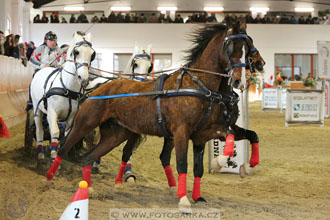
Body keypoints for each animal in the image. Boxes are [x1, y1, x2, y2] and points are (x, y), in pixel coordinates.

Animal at [30, 31, 95, 162]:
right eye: (76, 52)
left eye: (92, 54)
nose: (83, 77)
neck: (67, 88)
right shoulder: (51, 113)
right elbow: (54, 133)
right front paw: (53, 157)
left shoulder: (71, 117)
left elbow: (67, 135)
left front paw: (63, 156)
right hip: (37, 108)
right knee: (39, 130)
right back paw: (40, 155)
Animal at [48, 23, 266, 211]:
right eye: (232, 47)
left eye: (247, 46)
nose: (239, 80)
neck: (199, 85)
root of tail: (94, 89)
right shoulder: (181, 132)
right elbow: (182, 163)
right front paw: (185, 198)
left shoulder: (201, 134)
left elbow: (234, 143)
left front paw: (236, 169)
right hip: (83, 124)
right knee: (64, 147)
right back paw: (50, 178)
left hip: (116, 135)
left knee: (89, 156)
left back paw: (89, 188)